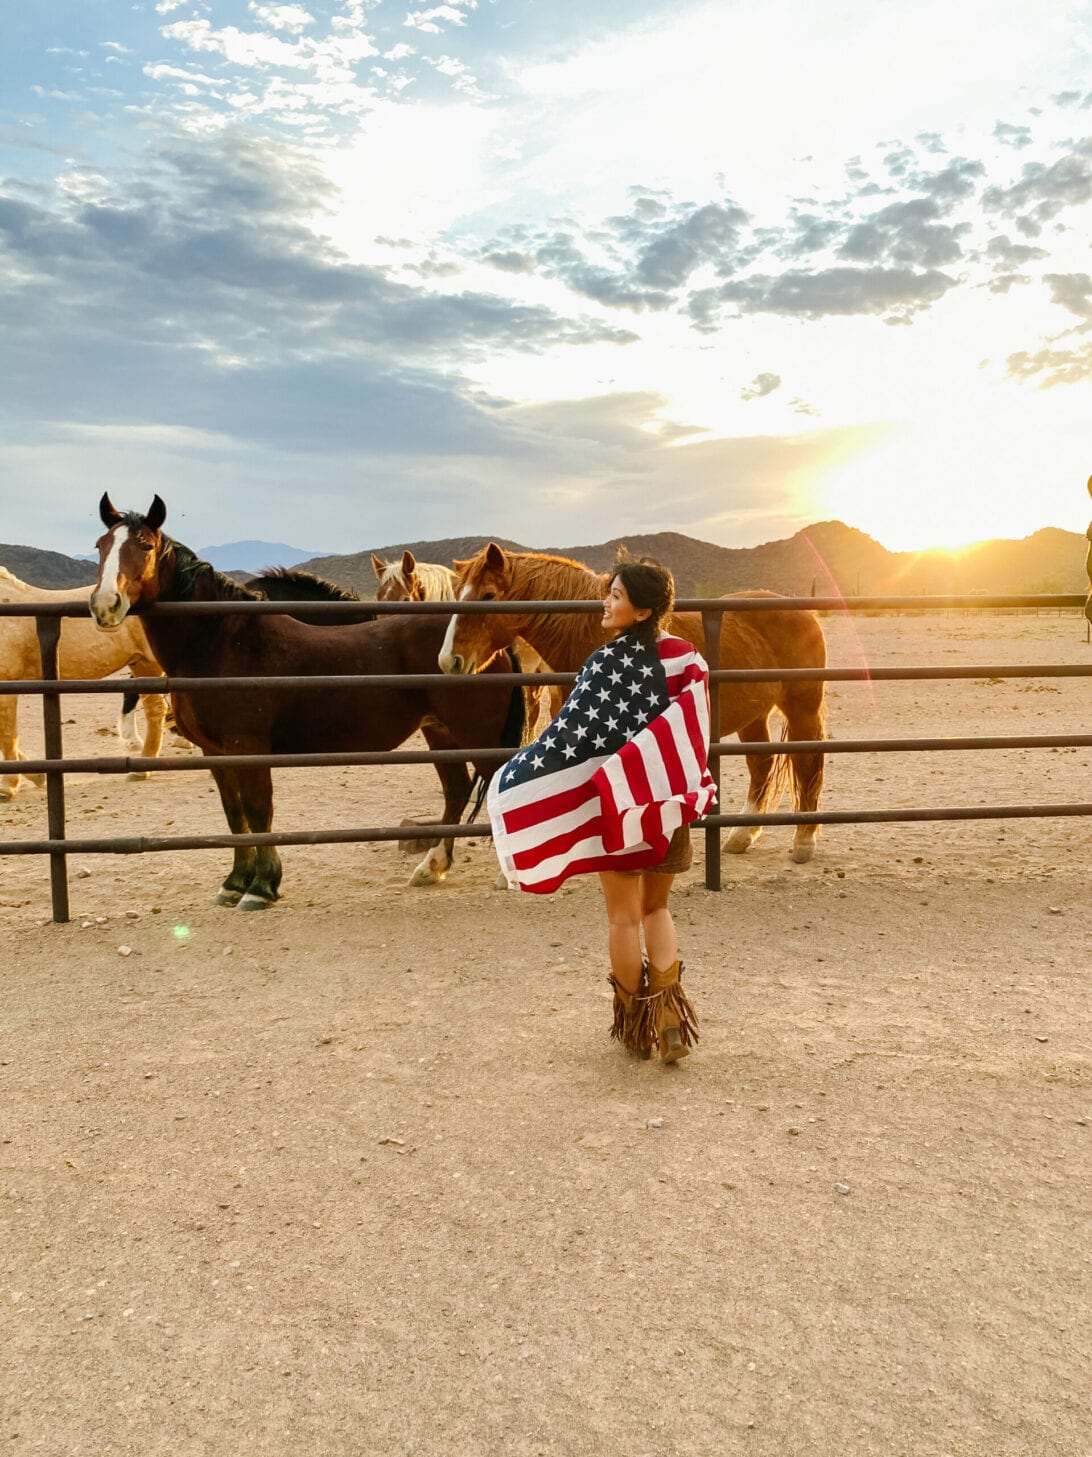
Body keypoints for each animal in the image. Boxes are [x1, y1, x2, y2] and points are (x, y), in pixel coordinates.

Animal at [0, 565, 168, 798]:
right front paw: (37, 776)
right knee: (156, 710)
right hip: (143, 665)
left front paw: (8, 786)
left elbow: (7, 735)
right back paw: (142, 768)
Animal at [89, 501, 533, 909]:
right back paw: (431, 867)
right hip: (440, 733)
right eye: (101, 545)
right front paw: (234, 883)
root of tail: (488, 645)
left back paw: (504, 876)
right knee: (456, 790)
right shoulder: (215, 752)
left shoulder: (247, 746)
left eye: (146, 546)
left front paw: (261, 887)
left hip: (477, 737)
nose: (105, 605)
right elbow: (235, 815)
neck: (222, 640)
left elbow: (258, 811)